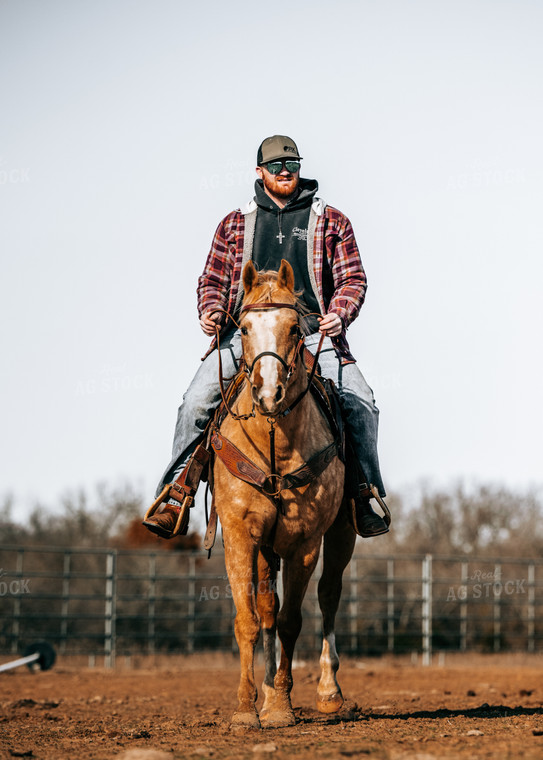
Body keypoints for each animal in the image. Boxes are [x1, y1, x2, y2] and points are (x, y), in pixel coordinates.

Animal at [211, 262, 356, 732]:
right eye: (243, 328)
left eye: (295, 327)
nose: (268, 393)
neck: (273, 437)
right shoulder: (241, 535)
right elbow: (250, 619)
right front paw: (246, 708)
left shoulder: (304, 541)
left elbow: (293, 619)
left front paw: (279, 707)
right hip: (264, 547)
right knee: (266, 607)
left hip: (343, 532)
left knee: (329, 593)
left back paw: (328, 691)